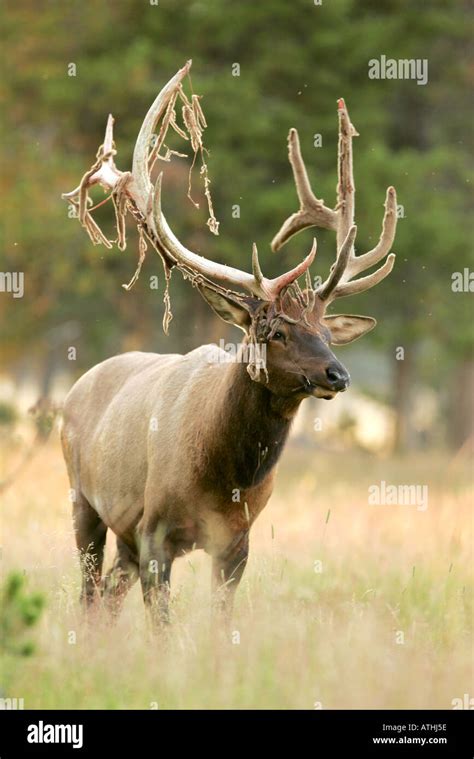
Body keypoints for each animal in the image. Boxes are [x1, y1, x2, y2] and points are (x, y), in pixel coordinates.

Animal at [61, 62, 398, 628]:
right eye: (274, 332)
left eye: (327, 333)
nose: (338, 374)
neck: (225, 476)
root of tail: (75, 386)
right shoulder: (154, 531)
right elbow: (162, 626)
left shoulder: (237, 540)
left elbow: (222, 623)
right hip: (84, 499)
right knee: (88, 596)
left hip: (123, 534)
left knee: (106, 597)